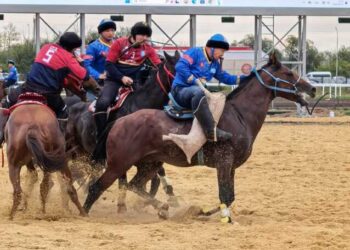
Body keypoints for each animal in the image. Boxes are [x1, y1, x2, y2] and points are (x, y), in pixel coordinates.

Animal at [82, 53, 318, 222]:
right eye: (288, 73)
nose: (312, 88)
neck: (239, 115)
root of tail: (119, 121)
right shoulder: (224, 162)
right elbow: (225, 194)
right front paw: (224, 219)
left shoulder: (230, 166)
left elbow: (230, 196)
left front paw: (203, 212)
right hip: (119, 164)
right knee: (98, 187)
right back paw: (82, 212)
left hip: (149, 164)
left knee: (135, 186)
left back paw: (163, 208)